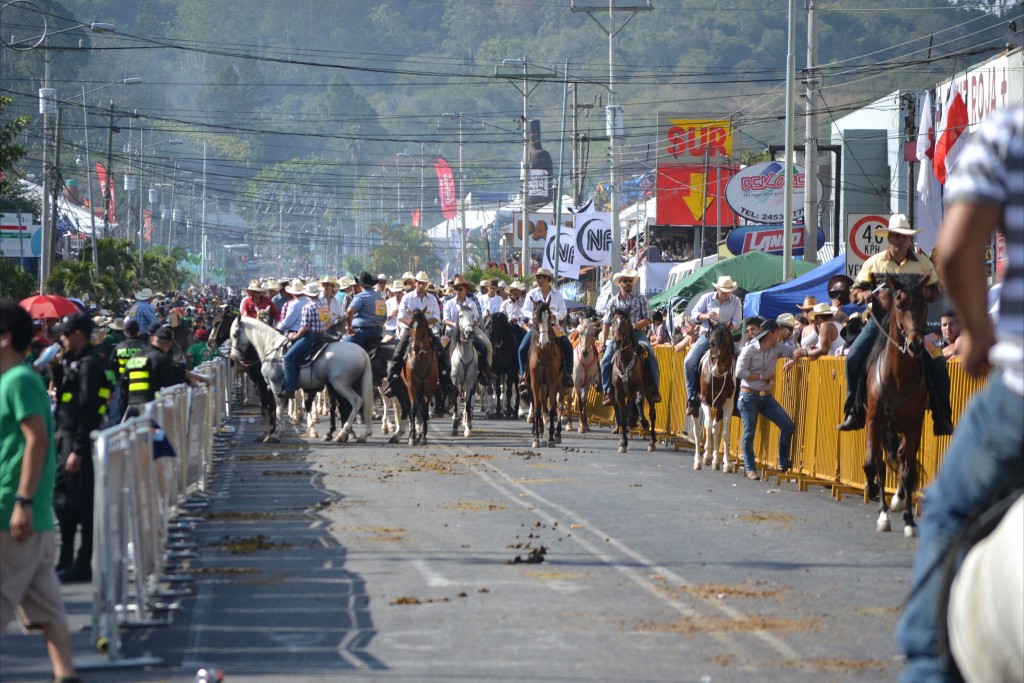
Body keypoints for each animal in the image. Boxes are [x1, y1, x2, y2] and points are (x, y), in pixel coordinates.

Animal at [229, 317, 376, 444]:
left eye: (235, 334)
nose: (234, 357)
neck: (272, 352)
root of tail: (362, 352)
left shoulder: (275, 387)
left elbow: (277, 410)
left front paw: (276, 435)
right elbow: (272, 409)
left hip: (341, 385)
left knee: (357, 402)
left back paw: (343, 433)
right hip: (350, 385)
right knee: (356, 404)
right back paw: (361, 434)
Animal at [606, 311, 655, 454]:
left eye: (626, 321)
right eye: (612, 322)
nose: (618, 341)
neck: (624, 362)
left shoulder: (640, 388)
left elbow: (639, 401)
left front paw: (644, 423)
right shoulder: (618, 394)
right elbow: (623, 415)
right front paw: (623, 442)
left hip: (649, 393)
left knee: (652, 414)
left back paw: (652, 442)